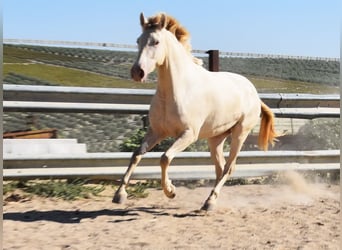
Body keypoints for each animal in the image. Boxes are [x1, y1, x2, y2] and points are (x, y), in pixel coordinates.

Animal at [112, 12, 278, 211]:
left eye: (156, 42)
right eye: (138, 40)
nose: (137, 72)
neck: (177, 91)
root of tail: (255, 94)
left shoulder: (188, 134)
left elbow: (164, 158)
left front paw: (171, 191)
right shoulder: (157, 132)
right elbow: (136, 155)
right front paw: (119, 195)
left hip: (240, 134)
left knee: (229, 168)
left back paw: (210, 202)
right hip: (216, 139)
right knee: (220, 168)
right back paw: (210, 200)